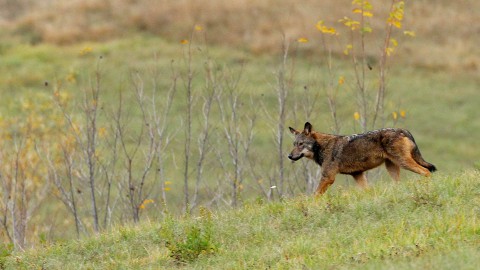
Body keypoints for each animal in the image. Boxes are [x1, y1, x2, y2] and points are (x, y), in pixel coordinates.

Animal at [286, 122, 436, 196]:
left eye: (301, 144)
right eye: (294, 144)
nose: (289, 156)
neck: (322, 146)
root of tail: (402, 129)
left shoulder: (328, 177)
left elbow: (315, 195)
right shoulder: (358, 174)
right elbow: (367, 190)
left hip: (404, 163)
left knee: (426, 171)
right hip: (392, 167)